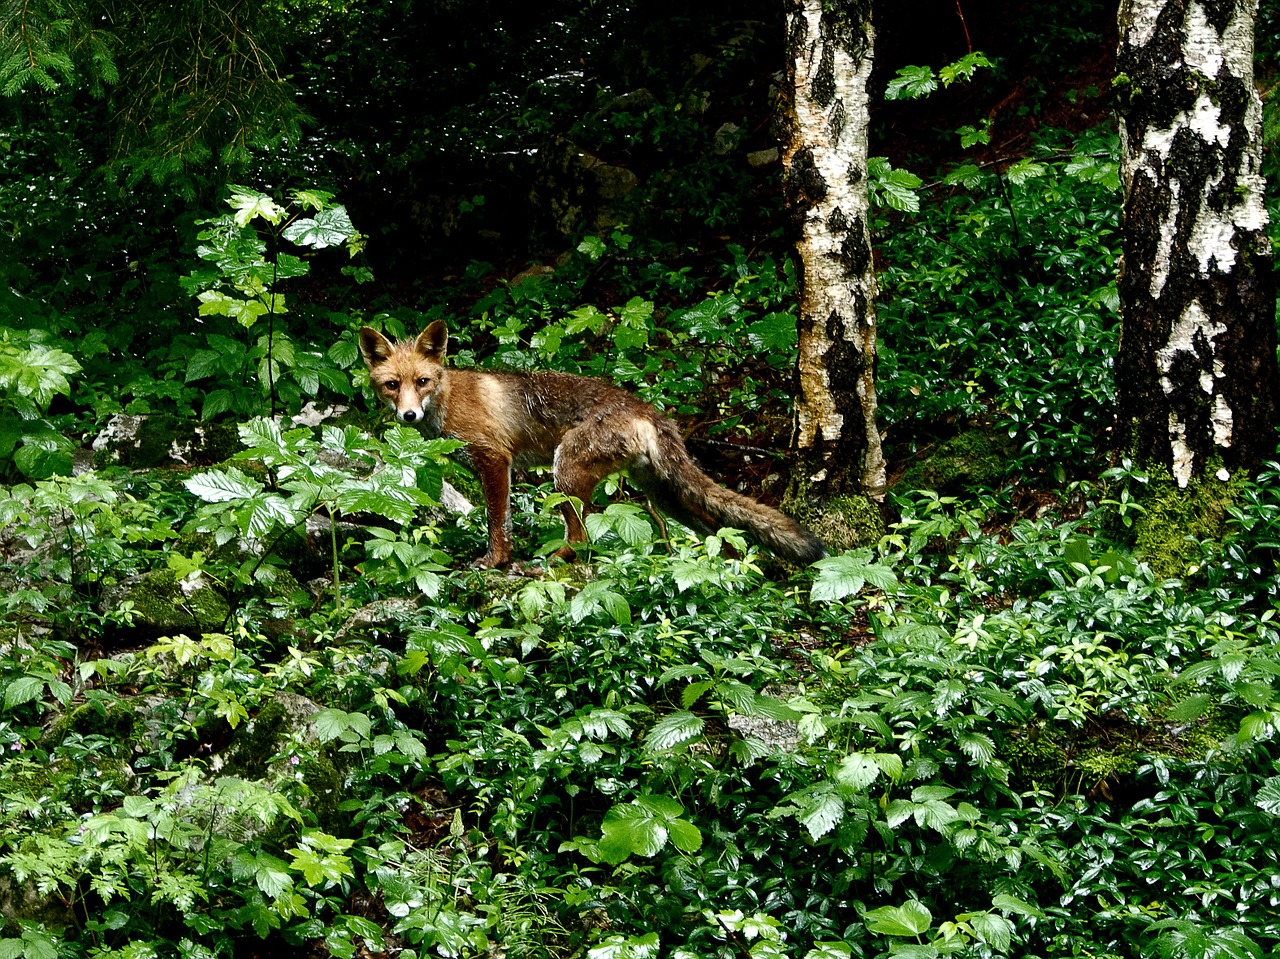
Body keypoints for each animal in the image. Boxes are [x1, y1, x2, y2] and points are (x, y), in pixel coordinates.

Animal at [358, 321, 829, 568]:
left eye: (422, 381)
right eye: (391, 385)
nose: (408, 416)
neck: (449, 397)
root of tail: (648, 409)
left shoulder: (494, 457)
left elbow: (497, 522)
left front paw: (496, 562)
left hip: (564, 473)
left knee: (583, 539)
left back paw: (551, 563)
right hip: (665, 495)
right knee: (721, 529)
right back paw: (726, 568)